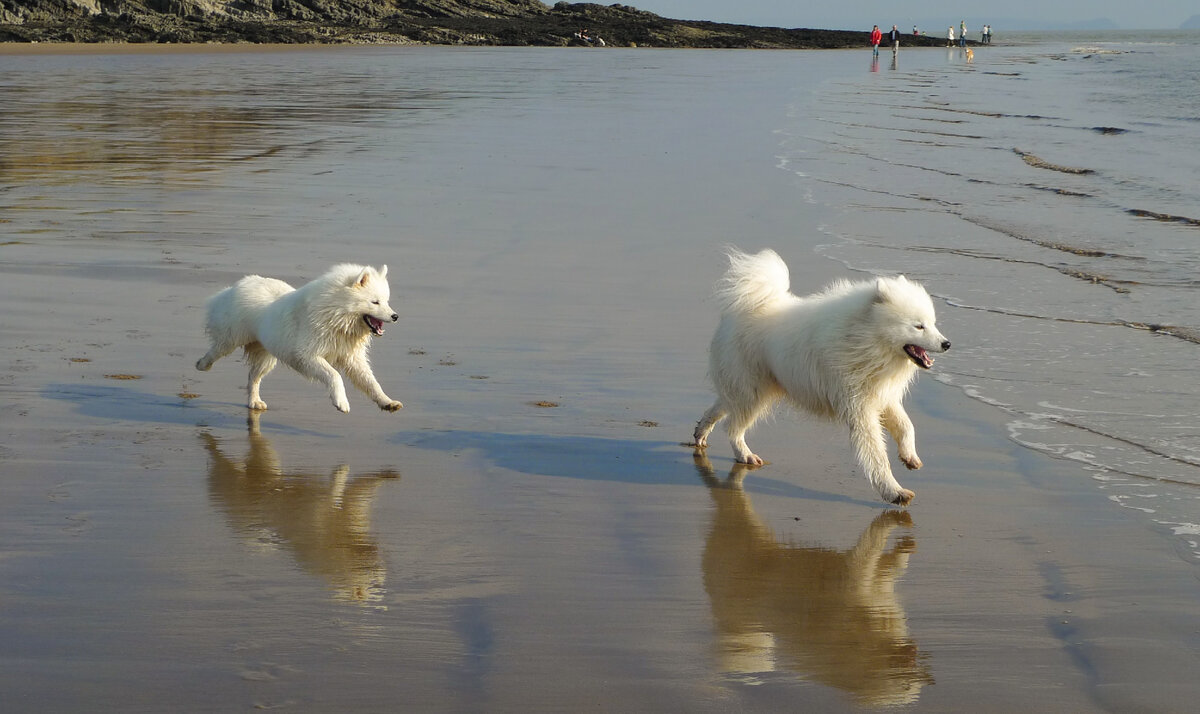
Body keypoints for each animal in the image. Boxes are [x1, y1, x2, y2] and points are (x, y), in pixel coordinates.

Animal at [196, 264, 403, 412]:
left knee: (253, 378)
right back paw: (202, 365)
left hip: (266, 356)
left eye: (386, 301)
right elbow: (334, 375)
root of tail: (237, 285)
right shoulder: (307, 354)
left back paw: (255, 402)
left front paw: (387, 402)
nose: (395, 316)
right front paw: (341, 402)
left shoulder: (352, 358)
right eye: (375, 302)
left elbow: (371, 382)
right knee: (216, 351)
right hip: (230, 340)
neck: (336, 314)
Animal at [691, 248, 950, 506]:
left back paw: (701, 432)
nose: (947, 344)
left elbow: (907, 425)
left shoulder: (880, 395)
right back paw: (745, 454)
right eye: (918, 326)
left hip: (748, 387)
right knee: (733, 427)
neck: (865, 337)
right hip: (753, 392)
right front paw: (894, 491)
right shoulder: (860, 407)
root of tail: (741, 309)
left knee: (721, 406)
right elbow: (877, 455)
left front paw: (909, 456)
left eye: (932, 323)